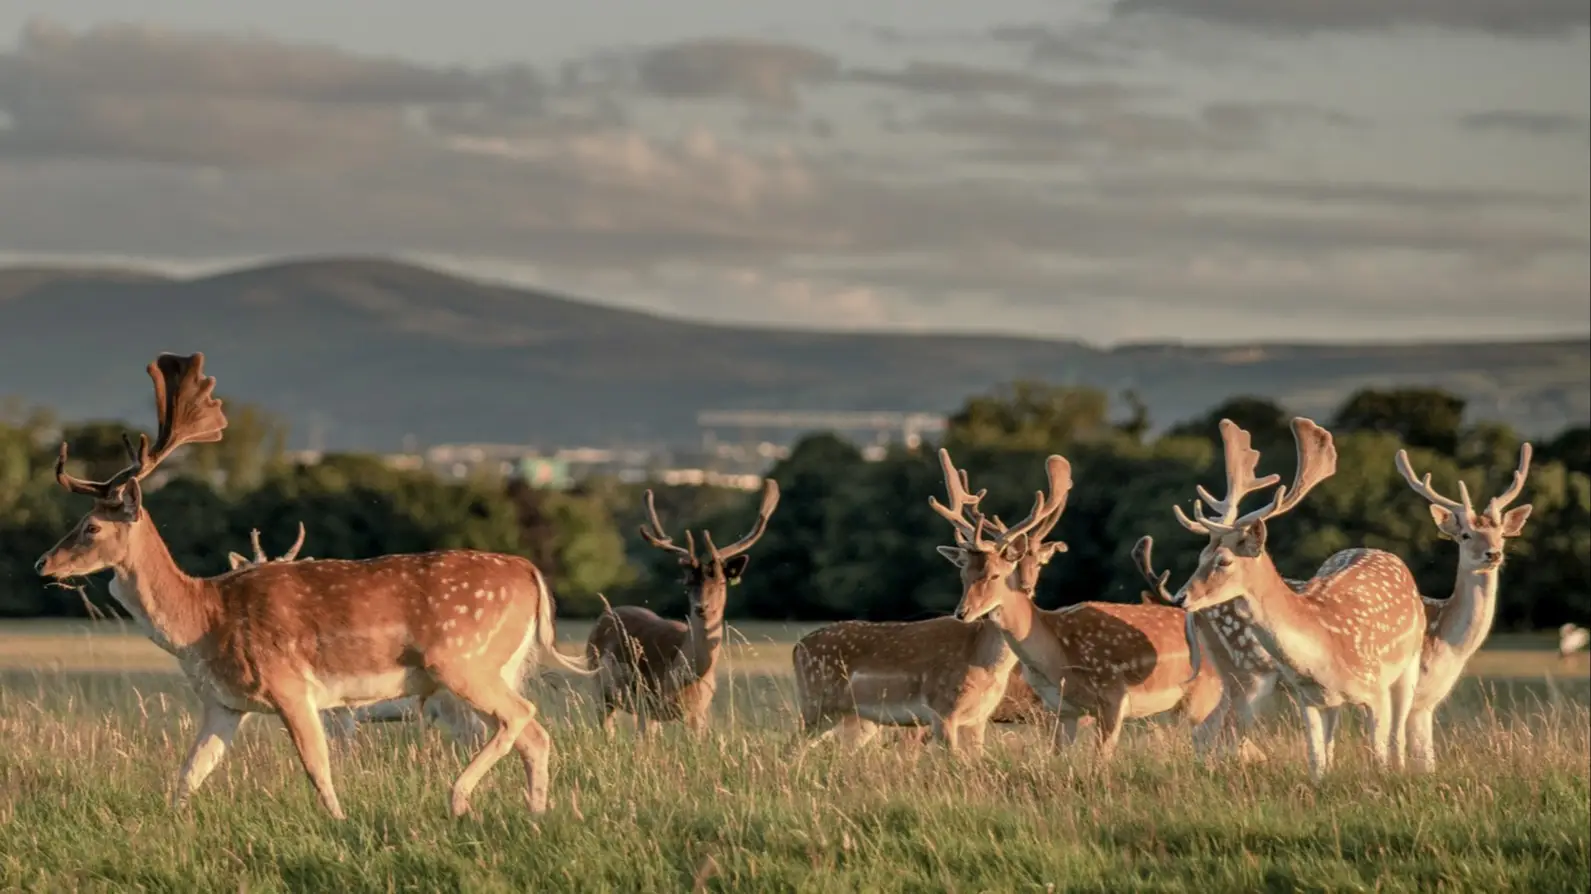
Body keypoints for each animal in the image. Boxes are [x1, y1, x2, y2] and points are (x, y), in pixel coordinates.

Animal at [585, 480, 780, 736]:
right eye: (688, 584)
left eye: (721, 582)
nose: (701, 608)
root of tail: (605, 615)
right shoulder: (647, 701)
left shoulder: (699, 712)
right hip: (600, 688)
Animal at [938, 449, 1231, 757]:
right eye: (963, 574)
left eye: (996, 574)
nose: (962, 612)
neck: (1056, 661)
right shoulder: (1061, 709)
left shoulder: (1112, 697)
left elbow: (1102, 758)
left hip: (1204, 696)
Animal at [1166, 416, 1427, 780]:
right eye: (1201, 556)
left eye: (1224, 561)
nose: (1180, 597)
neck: (1324, 652)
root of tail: (1385, 553)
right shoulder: (1310, 699)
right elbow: (1317, 761)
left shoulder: (1374, 691)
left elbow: (1378, 756)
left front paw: (1384, 781)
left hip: (1408, 663)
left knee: (1398, 734)